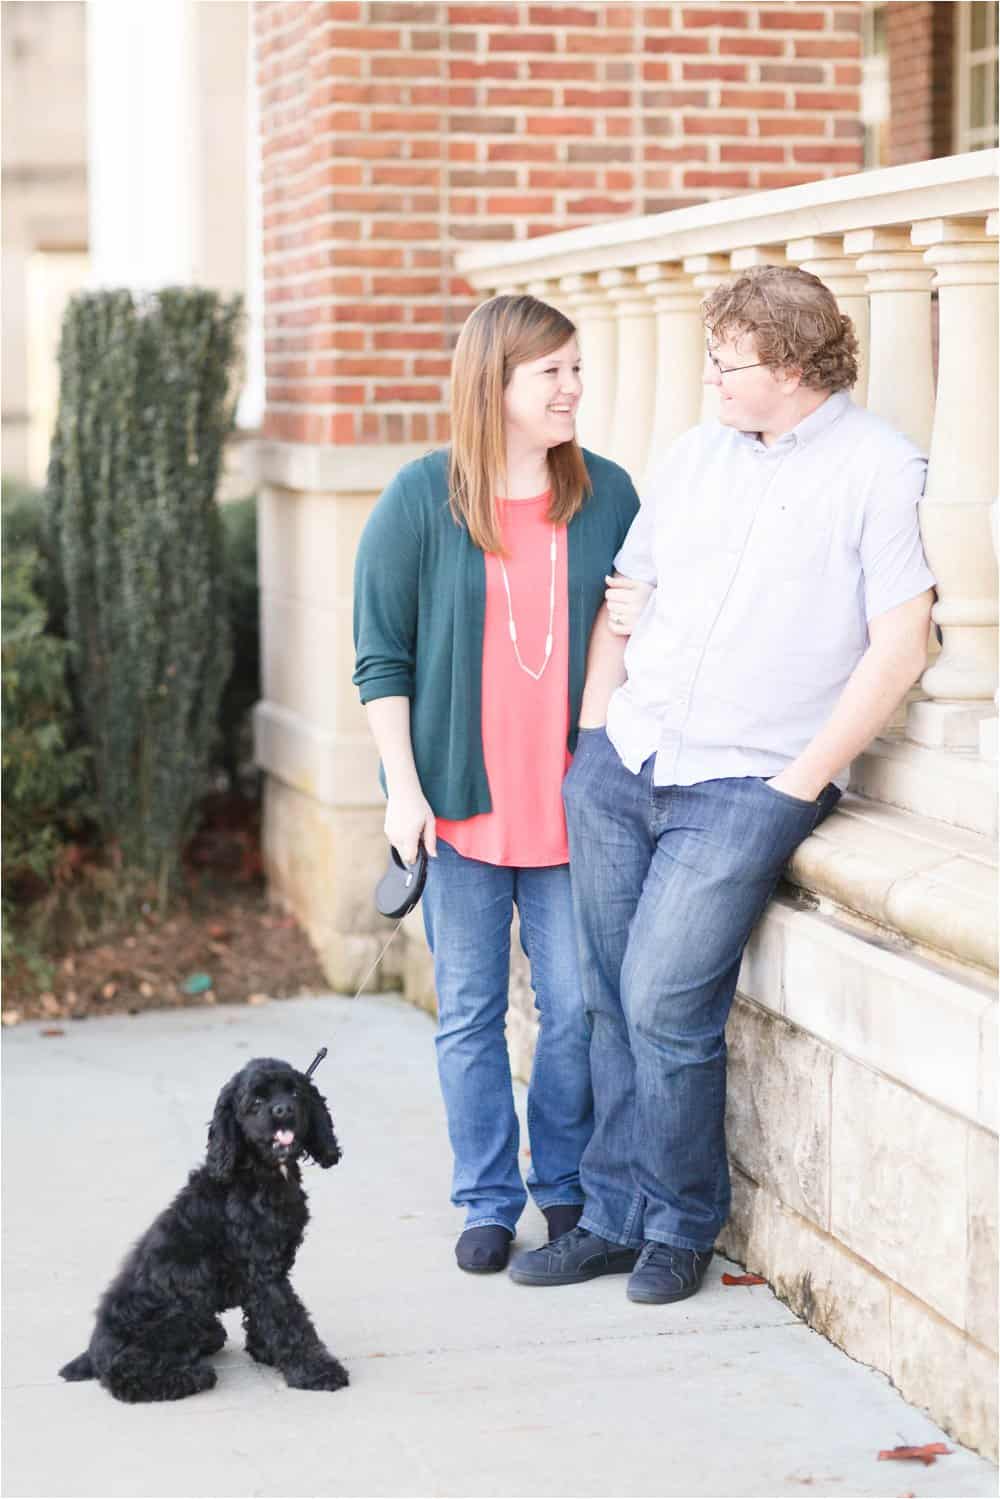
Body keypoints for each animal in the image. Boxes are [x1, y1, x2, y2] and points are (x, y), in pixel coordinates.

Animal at [58, 1061, 350, 1397]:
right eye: (257, 1100)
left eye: (295, 1092)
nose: (283, 1110)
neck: (258, 1171)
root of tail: (93, 1350)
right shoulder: (265, 1272)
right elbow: (289, 1319)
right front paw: (317, 1371)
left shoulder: (263, 1274)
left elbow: (264, 1316)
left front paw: (265, 1352)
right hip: (176, 1317)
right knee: (123, 1374)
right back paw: (189, 1376)